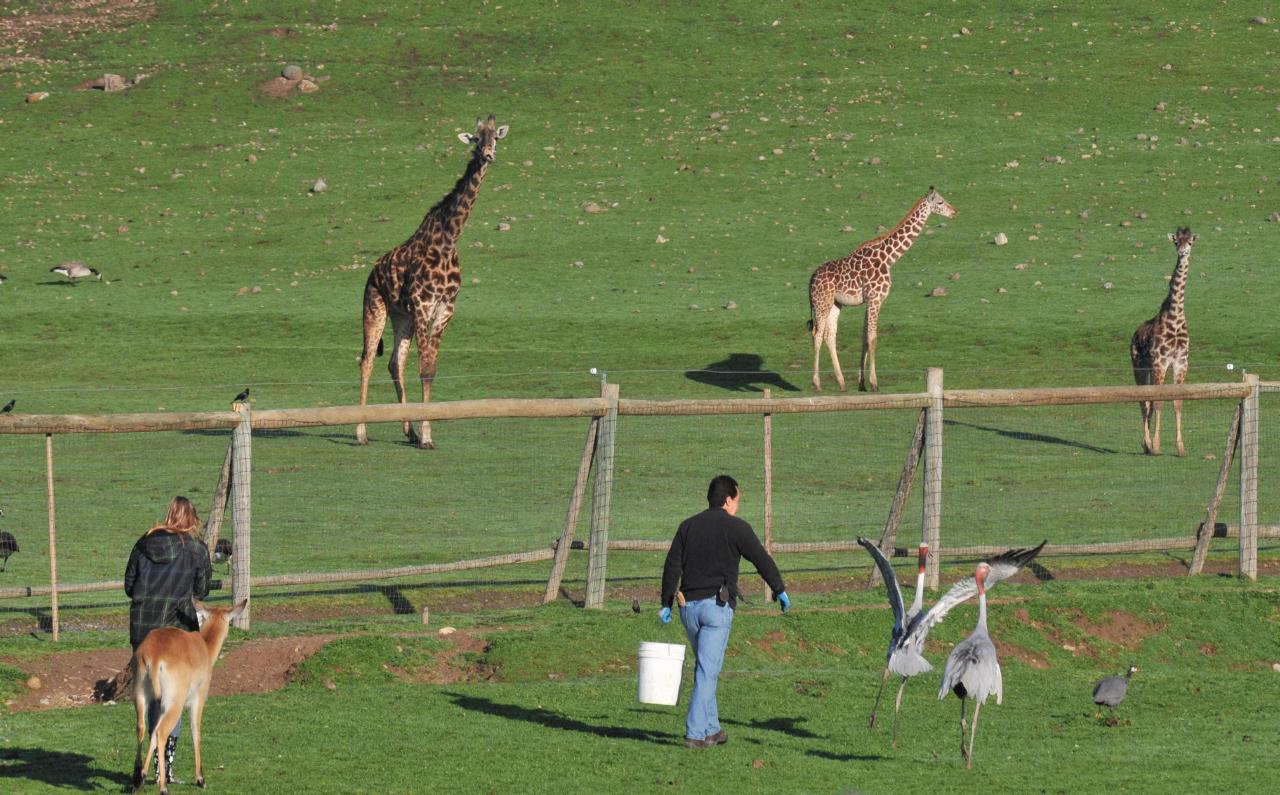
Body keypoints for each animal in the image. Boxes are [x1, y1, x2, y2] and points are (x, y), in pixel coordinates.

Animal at [132, 599, 247, 788]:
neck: (205, 647)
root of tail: (153, 657)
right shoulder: (198, 698)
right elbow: (196, 731)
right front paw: (201, 779)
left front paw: (145, 774)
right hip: (175, 701)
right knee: (161, 732)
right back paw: (164, 787)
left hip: (141, 694)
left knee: (143, 728)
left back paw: (138, 779)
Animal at [355, 113, 509, 445]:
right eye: (476, 139)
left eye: (496, 137)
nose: (489, 155)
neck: (449, 239)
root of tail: (373, 271)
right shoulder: (424, 305)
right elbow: (424, 368)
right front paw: (427, 435)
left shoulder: (445, 308)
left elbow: (430, 369)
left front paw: (423, 433)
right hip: (375, 305)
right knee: (367, 360)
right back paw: (360, 431)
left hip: (402, 316)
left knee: (394, 363)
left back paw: (409, 430)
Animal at [808, 189, 952, 394]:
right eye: (940, 202)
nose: (954, 211)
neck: (889, 258)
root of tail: (811, 279)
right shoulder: (876, 299)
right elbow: (873, 338)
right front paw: (874, 383)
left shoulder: (870, 300)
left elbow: (864, 338)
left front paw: (861, 383)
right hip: (822, 302)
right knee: (818, 334)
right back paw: (817, 383)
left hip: (836, 304)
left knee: (830, 335)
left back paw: (842, 383)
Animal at [1131, 226, 1198, 455]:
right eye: (1176, 242)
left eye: (1190, 242)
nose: (1183, 253)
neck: (1175, 318)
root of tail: (1134, 333)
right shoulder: (1160, 362)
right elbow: (1158, 402)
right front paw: (1157, 445)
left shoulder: (1180, 363)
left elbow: (1177, 402)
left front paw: (1181, 448)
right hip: (1140, 367)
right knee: (1144, 402)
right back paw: (1148, 444)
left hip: (1151, 369)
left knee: (1148, 402)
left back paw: (1146, 444)